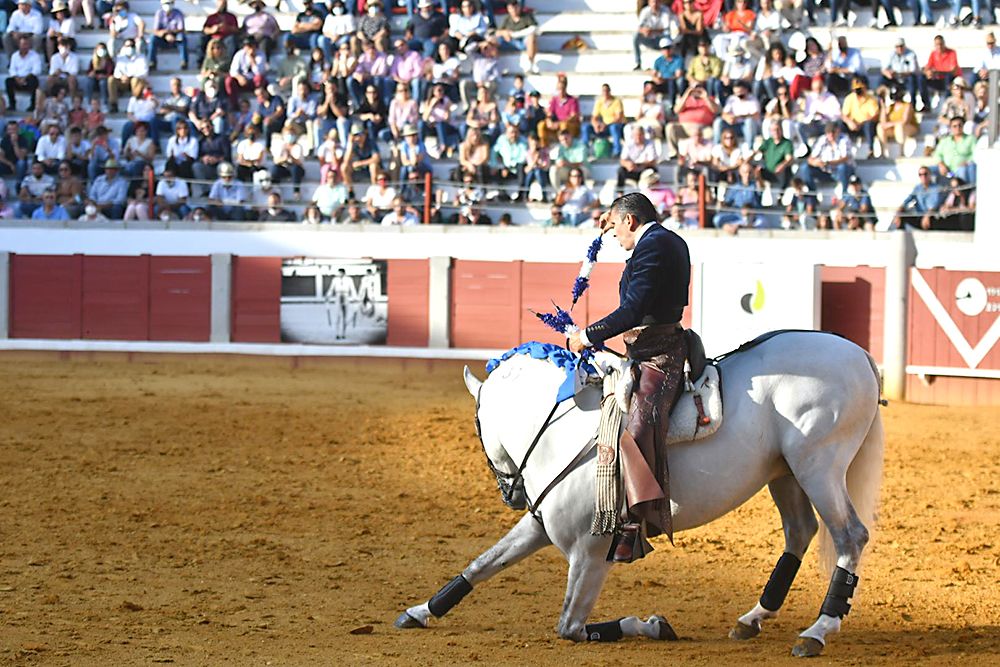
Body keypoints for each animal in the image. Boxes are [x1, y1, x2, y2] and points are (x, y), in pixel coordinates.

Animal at [396, 332, 884, 660]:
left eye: (476, 427)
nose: (511, 494)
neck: (559, 430)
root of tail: (857, 352)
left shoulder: (591, 553)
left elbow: (571, 627)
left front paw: (653, 624)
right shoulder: (539, 526)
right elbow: (482, 564)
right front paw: (420, 611)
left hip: (818, 467)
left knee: (850, 536)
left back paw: (818, 630)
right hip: (785, 474)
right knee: (800, 533)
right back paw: (753, 620)